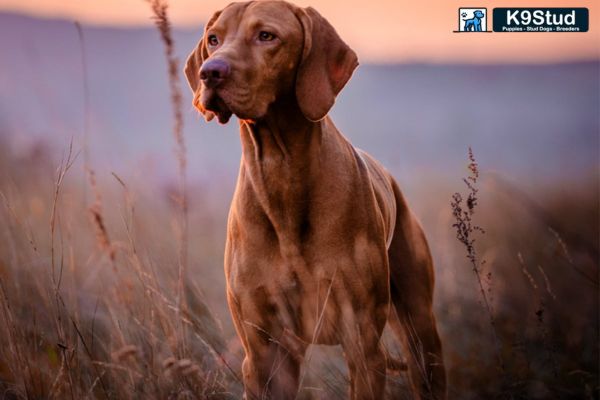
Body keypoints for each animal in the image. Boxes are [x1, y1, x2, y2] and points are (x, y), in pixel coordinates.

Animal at [185, 1, 448, 398]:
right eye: (214, 39)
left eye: (266, 35)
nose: (210, 72)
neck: (281, 175)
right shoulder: (264, 353)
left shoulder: (362, 344)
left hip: (421, 334)